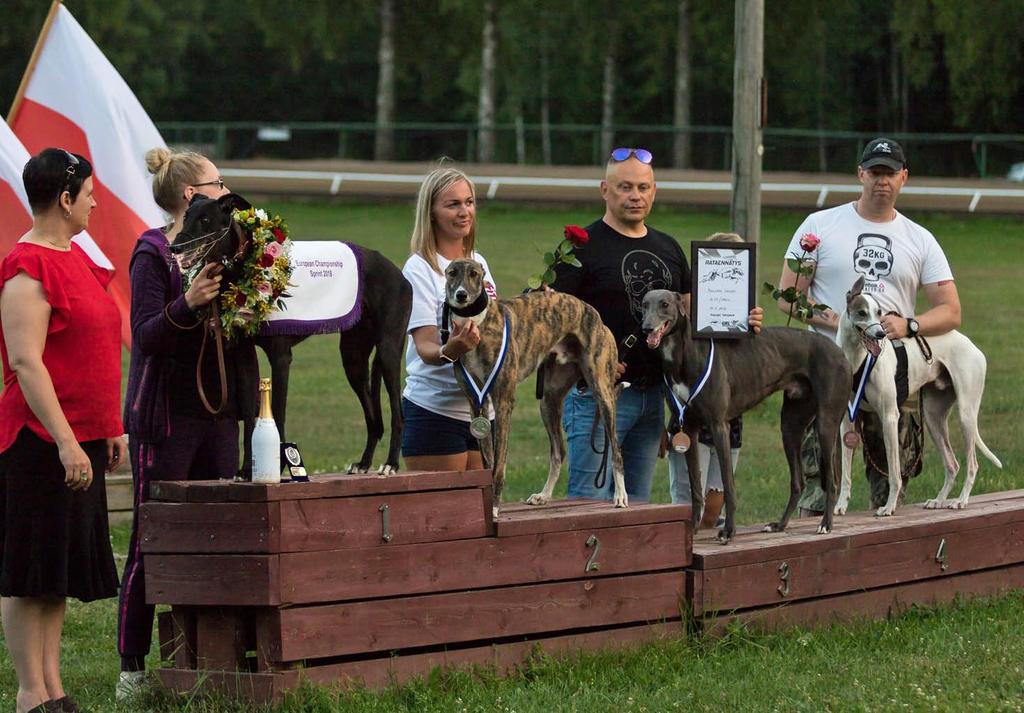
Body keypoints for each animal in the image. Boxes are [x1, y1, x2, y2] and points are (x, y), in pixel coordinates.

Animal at [444, 259, 626, 514]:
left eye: (474, 274)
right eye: (451, 273)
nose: (461, 296)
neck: (478, 323)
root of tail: (591, 311)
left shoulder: (503, 402)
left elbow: (498, 466)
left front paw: (494, 509)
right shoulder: (476, 403)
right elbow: (489, 461)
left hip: (603, 392)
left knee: (616, 451)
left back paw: (620, 496)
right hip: (548, 402)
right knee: (559, 451)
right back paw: (544, 495)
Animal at [835, 276, 995, 514]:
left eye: (879, 312)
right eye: (862, 313)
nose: (881, 334)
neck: (858, 359)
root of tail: (973, 347)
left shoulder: (890, 417)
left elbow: (894, 473)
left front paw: (889, 507)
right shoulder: (847, 420)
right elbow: (845, 473)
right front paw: (840, 506)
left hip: (966, 415)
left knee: (972, 464)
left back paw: (961, 500)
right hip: (933, 418)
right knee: (952, 464)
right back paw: (938, 500)